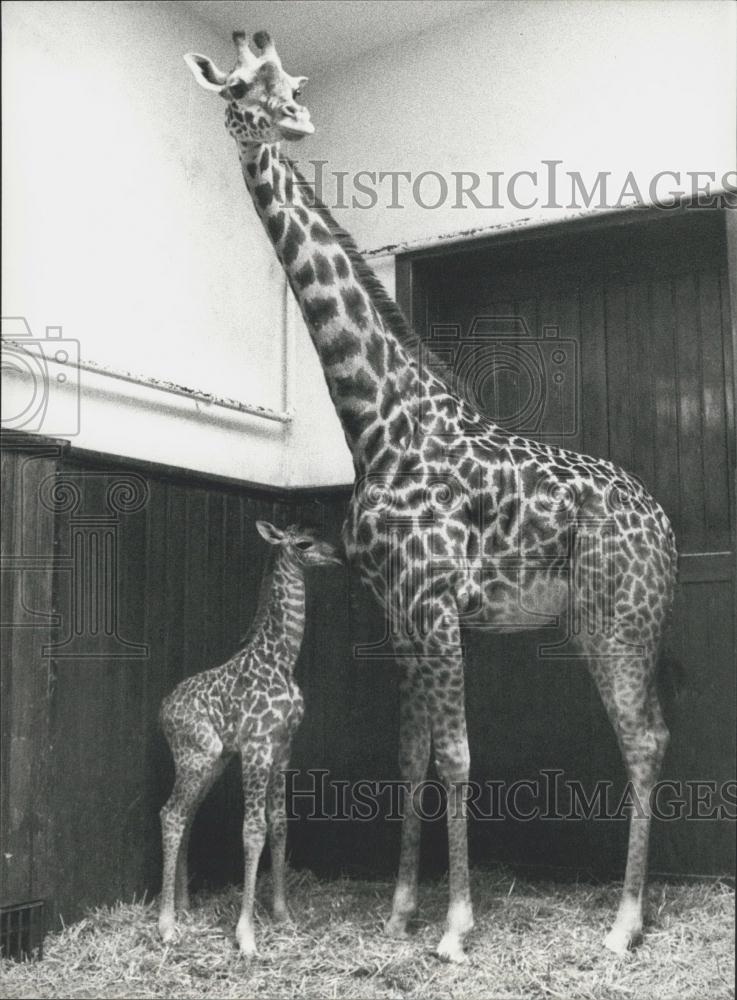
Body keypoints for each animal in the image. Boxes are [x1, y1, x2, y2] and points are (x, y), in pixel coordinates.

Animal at [157, 520, 340, 956]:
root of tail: (162, 711)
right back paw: (167, 925)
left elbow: (279, 823)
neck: (281, 659)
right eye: (304, 543)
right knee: (171, 814)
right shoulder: (257, 747)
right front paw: (246, 935)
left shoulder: (284, 747)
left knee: (186, 815)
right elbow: (253, 830)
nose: (336, 554)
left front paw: (282, 915)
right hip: (197, 754)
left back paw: (184, 907)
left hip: (215, 759)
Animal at [185, 35, 680, 964]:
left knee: (643, 737)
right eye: (237, 88)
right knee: (645, 734)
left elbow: (454, 756)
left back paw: (624, 922)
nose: (289, 122)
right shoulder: (397, 610)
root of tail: (662, 523)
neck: (378, 422)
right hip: (600, 620)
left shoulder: (437, 604)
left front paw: (454, 926)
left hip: (617, 618)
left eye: (287, 82)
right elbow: (410, 755)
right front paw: (399, 910)